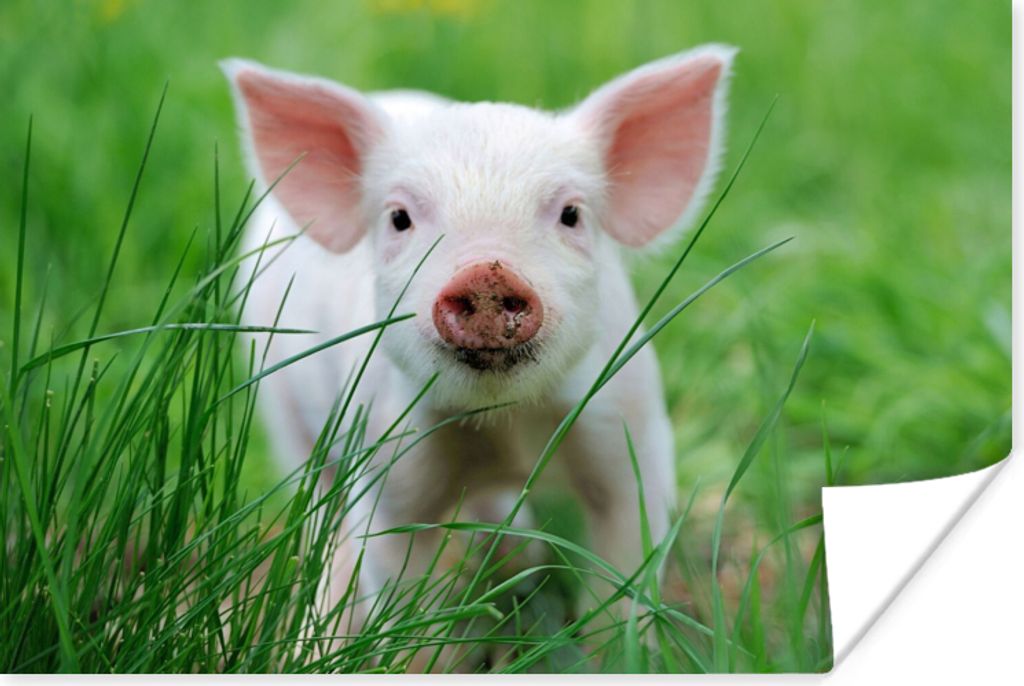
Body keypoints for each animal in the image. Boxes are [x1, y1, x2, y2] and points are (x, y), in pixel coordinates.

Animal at [222, 44, 736, 640]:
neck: (503, 424)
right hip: (284, 411)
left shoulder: (633, 435)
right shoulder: (385, 462)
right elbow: (399, 591)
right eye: (399, 218)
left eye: (571, 214)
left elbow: (623, 576)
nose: (486, 274)